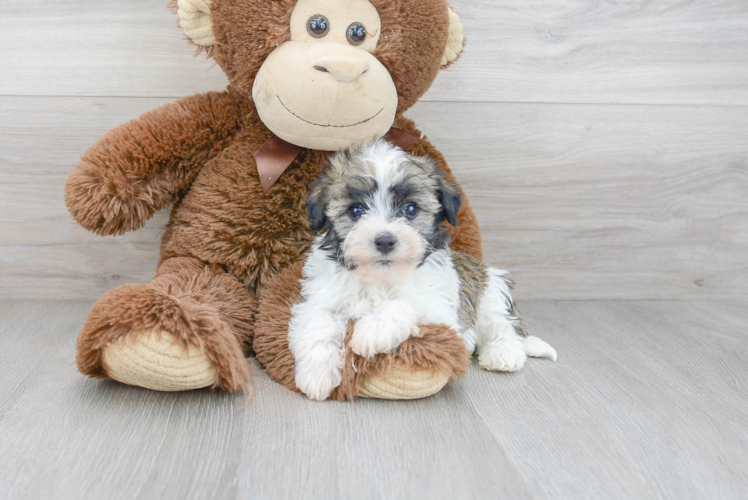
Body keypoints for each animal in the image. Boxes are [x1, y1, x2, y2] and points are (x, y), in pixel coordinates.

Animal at [290, 143, 560, 400]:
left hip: (492, 291)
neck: (381, 277)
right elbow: (319, 321)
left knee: (503, 326)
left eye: (410, 209)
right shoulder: (320, 299)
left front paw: (371, 332)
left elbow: (406, 303)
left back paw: (502, 353)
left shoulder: (440, 309)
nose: (385, 240)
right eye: (356, 210)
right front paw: (316, 375)